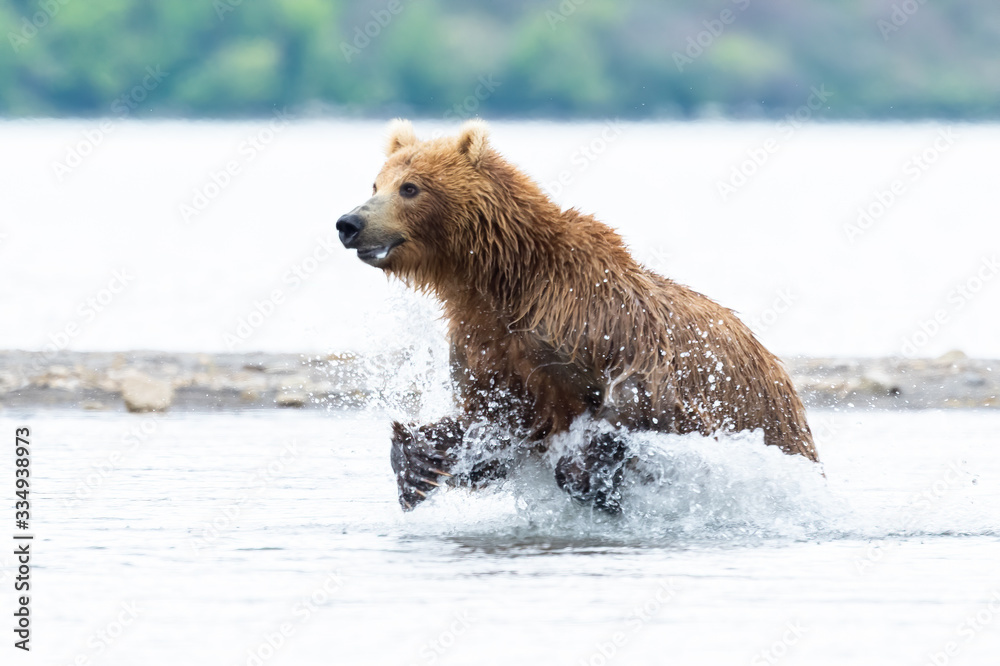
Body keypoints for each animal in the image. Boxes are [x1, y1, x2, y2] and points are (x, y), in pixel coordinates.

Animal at [337, 119, 818, 512]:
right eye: (376, 183)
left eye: (411, 187)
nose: (349, 223)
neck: (504, 281)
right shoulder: (485, 341)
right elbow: (490, 422)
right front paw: (419, 465)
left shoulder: (591, 315)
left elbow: (640, 395)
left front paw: (590, 474)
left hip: (766, 417)